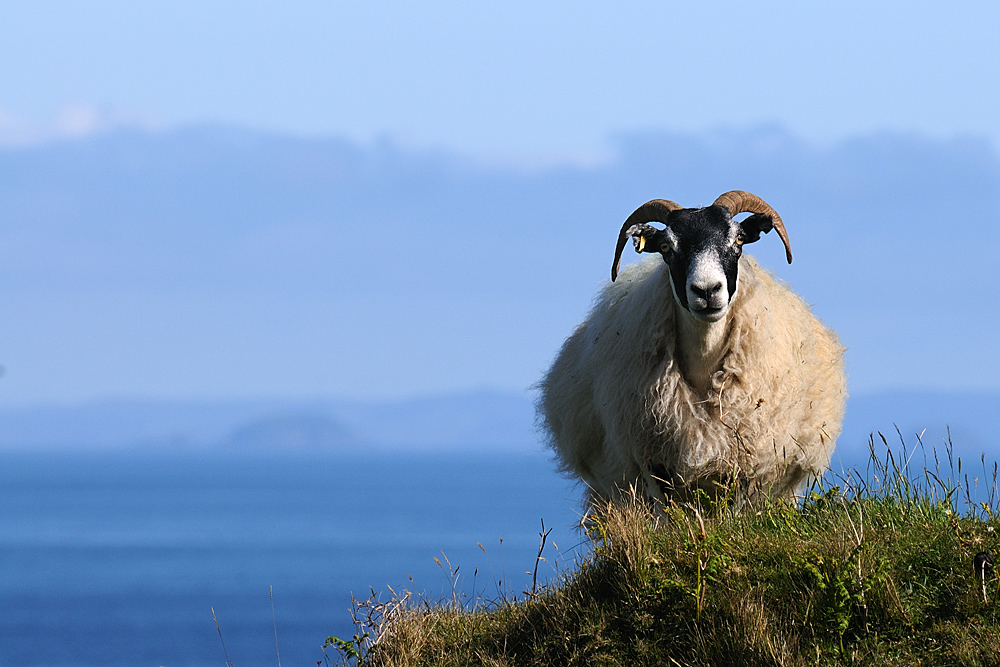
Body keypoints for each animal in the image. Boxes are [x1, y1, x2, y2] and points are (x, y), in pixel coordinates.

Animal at [540, 189, 844, 506]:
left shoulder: (746, 460)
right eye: (666, 246)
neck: (703, 365)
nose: (707, 290)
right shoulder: (652, 462)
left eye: (738, 239)